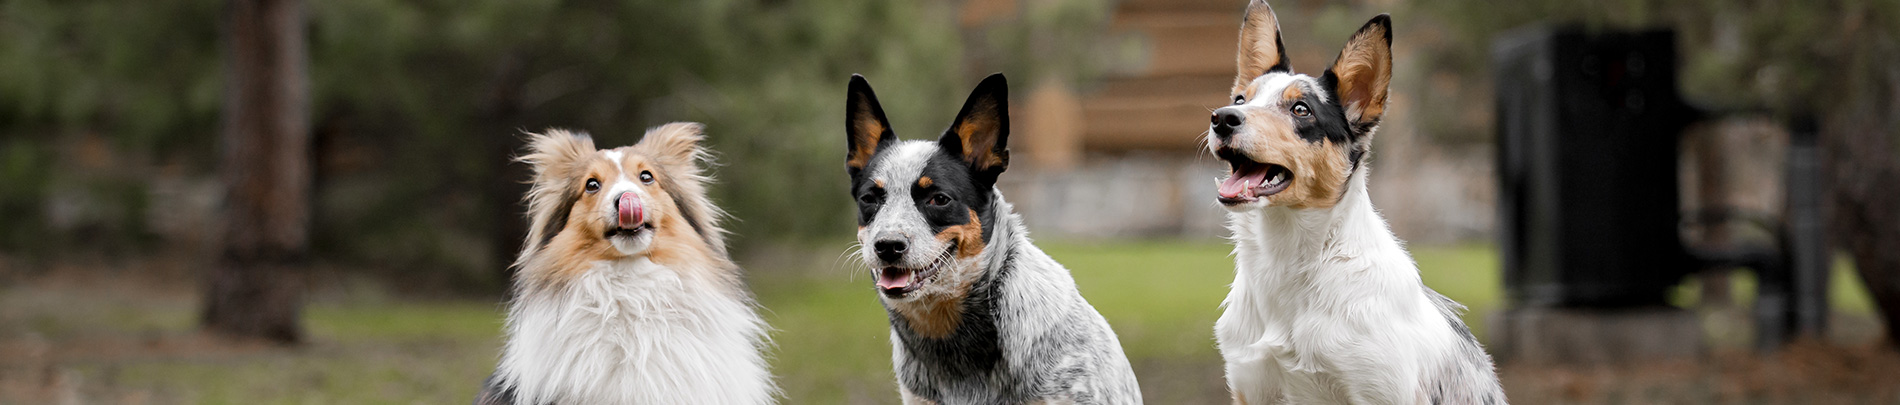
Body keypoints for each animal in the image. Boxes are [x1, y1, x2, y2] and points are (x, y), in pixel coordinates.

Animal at [1208, 1, 1504, 403]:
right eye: (1240, 99)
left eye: (1301, 109)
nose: (1222, 118)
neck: (1289, 262)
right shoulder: (1252, 385)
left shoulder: (1379, 391)